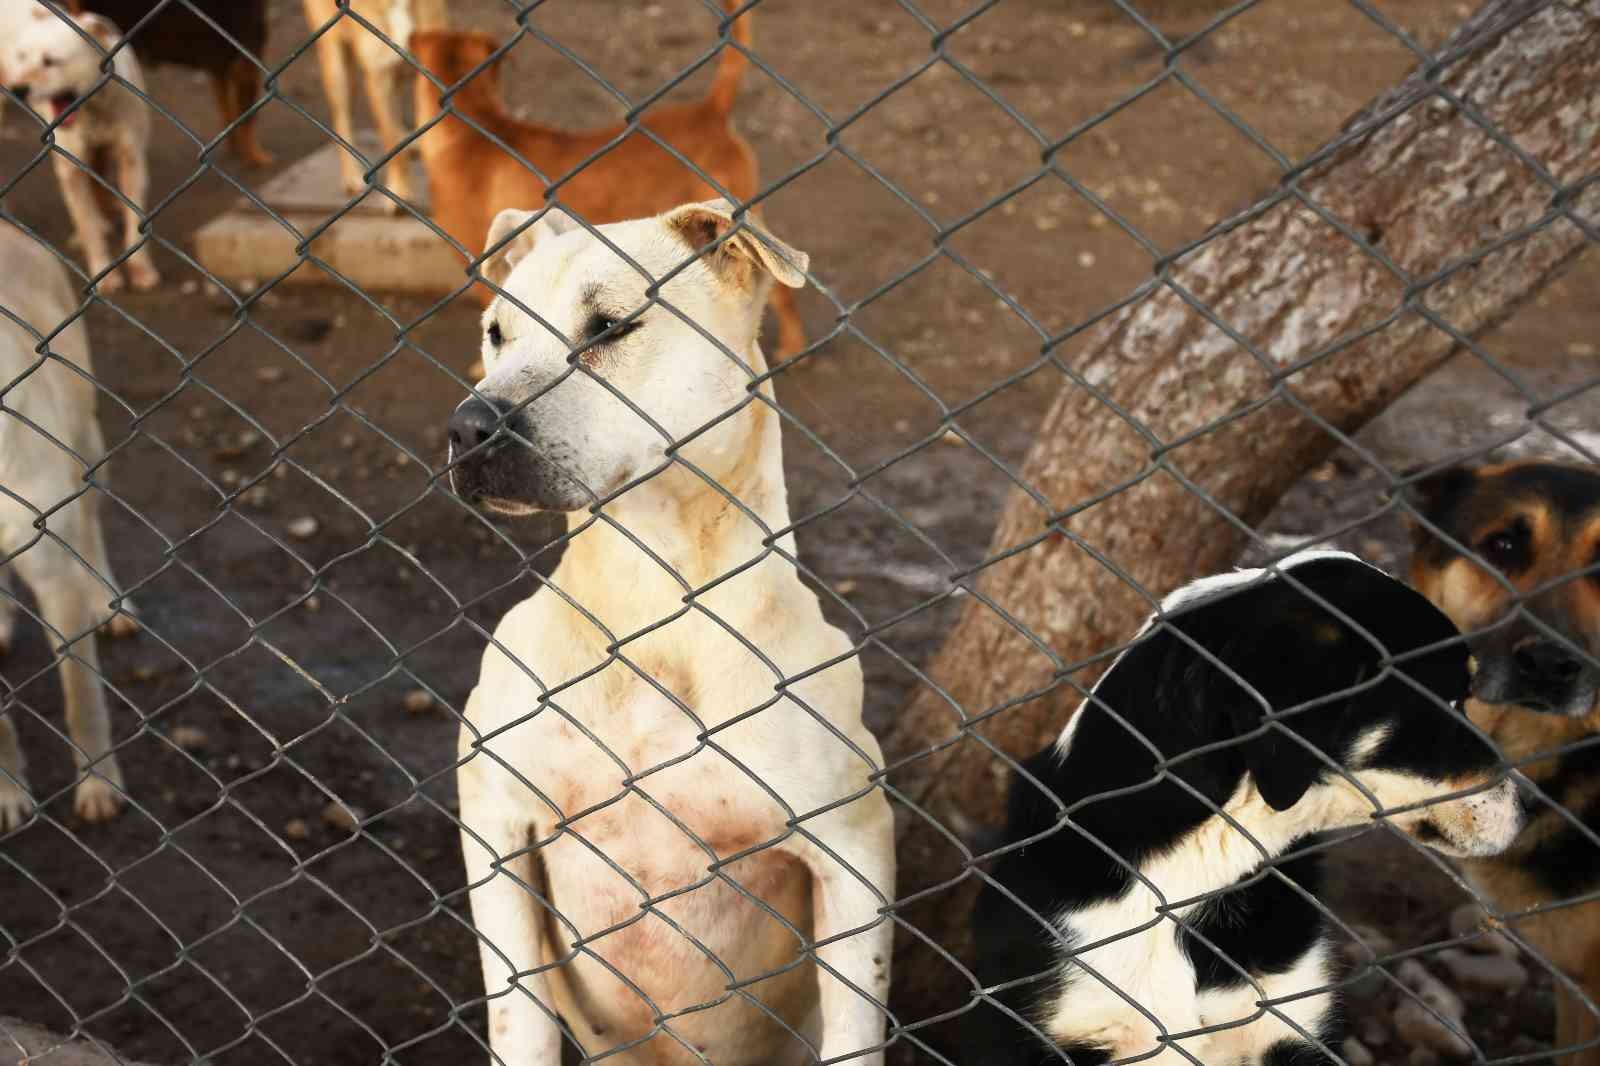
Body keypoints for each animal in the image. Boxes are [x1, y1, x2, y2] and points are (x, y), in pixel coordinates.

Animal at [4, 8, 159, 292]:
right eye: (22, 56)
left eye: (50, 61)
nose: (18, 89)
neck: (93, 110)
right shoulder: (71, 171)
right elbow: (89, 226)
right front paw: (103, 272)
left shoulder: (131, 161)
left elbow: (134, 222)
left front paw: (140, 269)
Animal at [300, 0, 448, 211]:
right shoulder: (378, 78)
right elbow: (389, 138)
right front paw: (399, 192)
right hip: (336, 67)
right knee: (342, 119)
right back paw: (351, 176)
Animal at [448, 201, 902, 1062]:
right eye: (494, 333)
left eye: (611, 326)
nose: (469, 427)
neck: (652, 606)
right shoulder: (494, 820)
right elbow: (519, 1015)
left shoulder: (853, 848)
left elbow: (856, 1030)